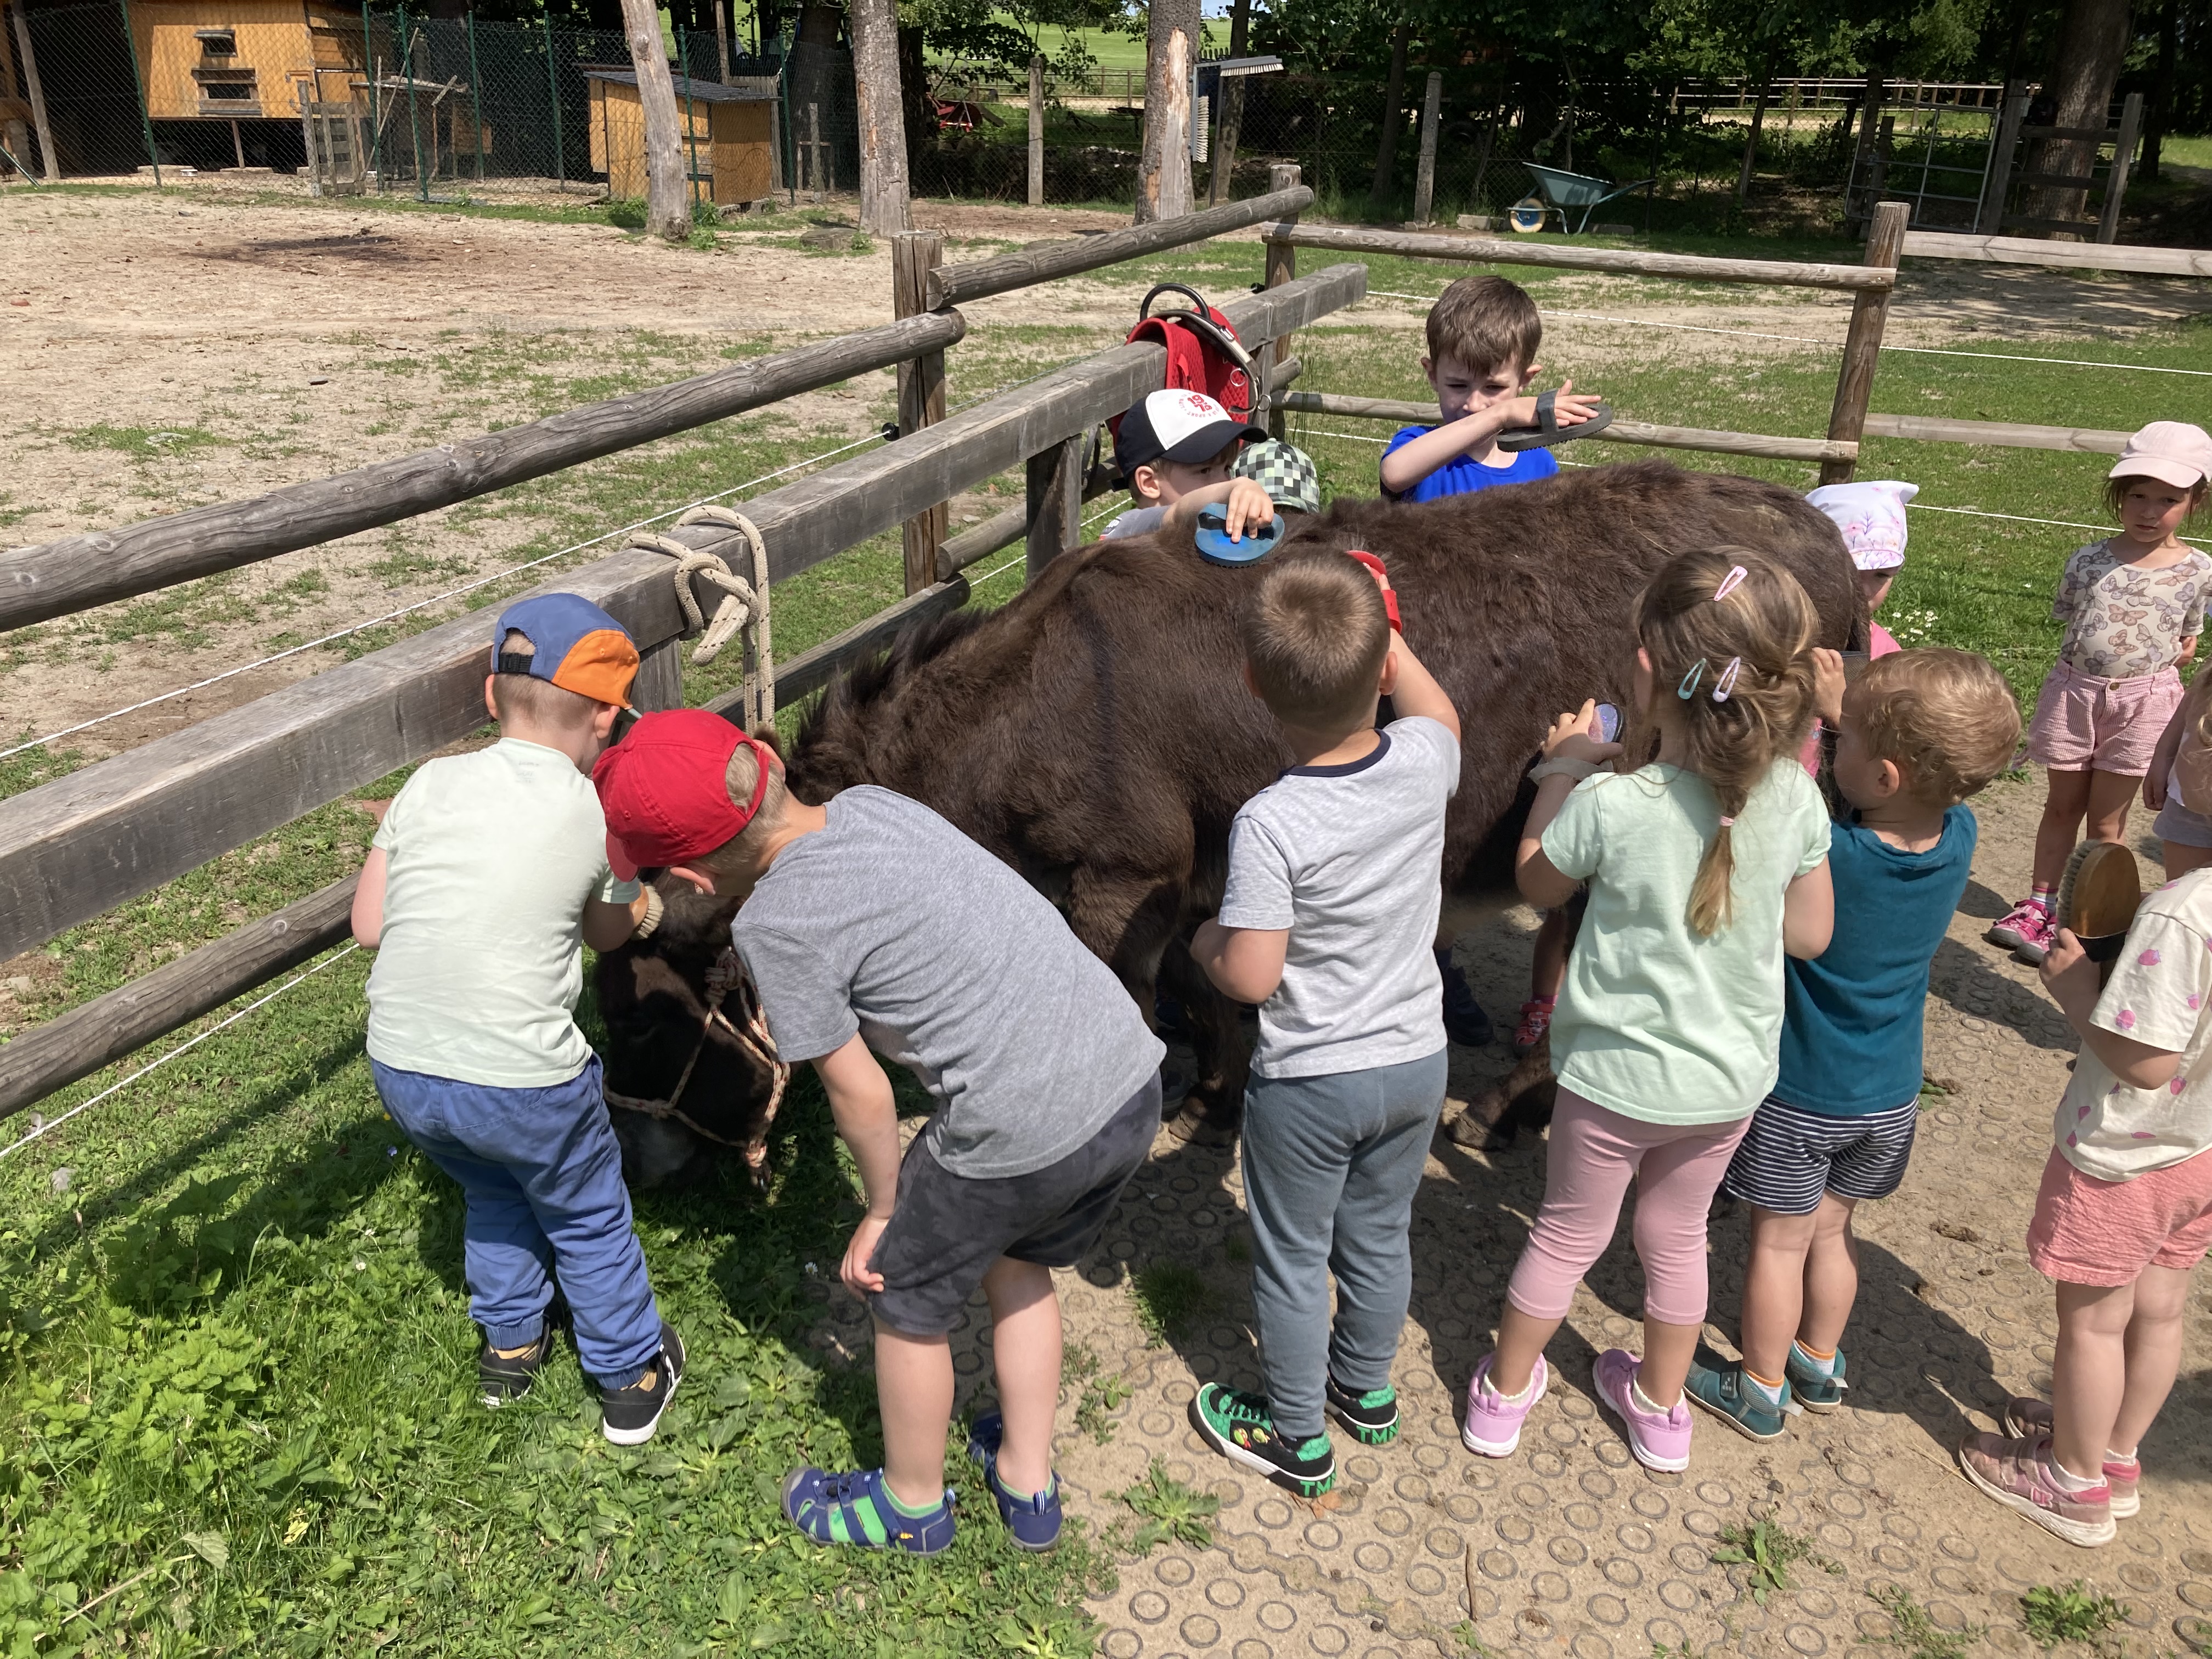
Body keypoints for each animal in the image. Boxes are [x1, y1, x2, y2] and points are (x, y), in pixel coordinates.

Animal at [595, 459, 1862, 1184]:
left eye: (655, 1012)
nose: (641, 1162)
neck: (1020, 708)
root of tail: (1810, 531)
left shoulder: (1121, 875)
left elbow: (1138, 993)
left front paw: (1166, 1100)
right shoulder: (1196, 872)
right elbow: (1205, 991)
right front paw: (1214, 1093)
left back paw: (1533, 1110)